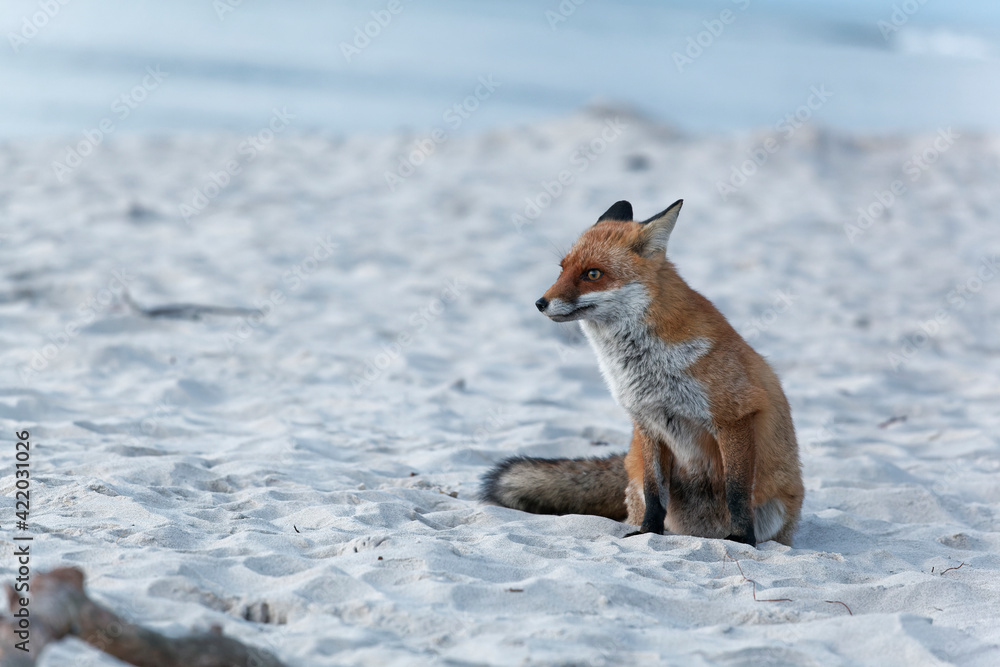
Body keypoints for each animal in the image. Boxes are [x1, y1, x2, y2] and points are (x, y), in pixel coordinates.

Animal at [484, 201, 804, 544]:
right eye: (562, 269)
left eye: (593, 274)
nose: (540, 303)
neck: (645, 368)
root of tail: (702, 533)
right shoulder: (648, 422)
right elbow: (655, 492)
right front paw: (648, 534)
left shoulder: (734, 415)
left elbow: (737, 489)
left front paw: (742, 538)